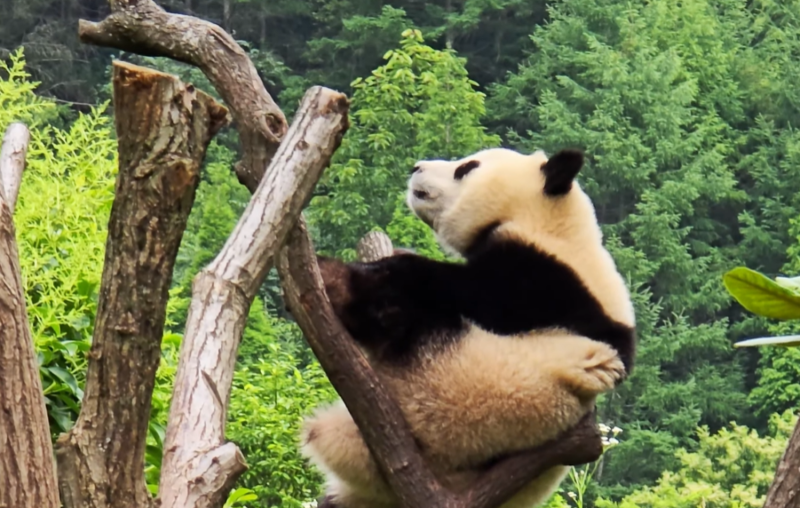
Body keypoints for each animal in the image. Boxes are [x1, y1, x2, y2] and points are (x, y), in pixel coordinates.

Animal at [300, 147, 636, 508]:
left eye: (466, 168)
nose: (416, 168)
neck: (552, 226)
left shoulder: (542, 283)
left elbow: (459, 289)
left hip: (450, 393)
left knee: (400, 318)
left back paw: (336, 280)